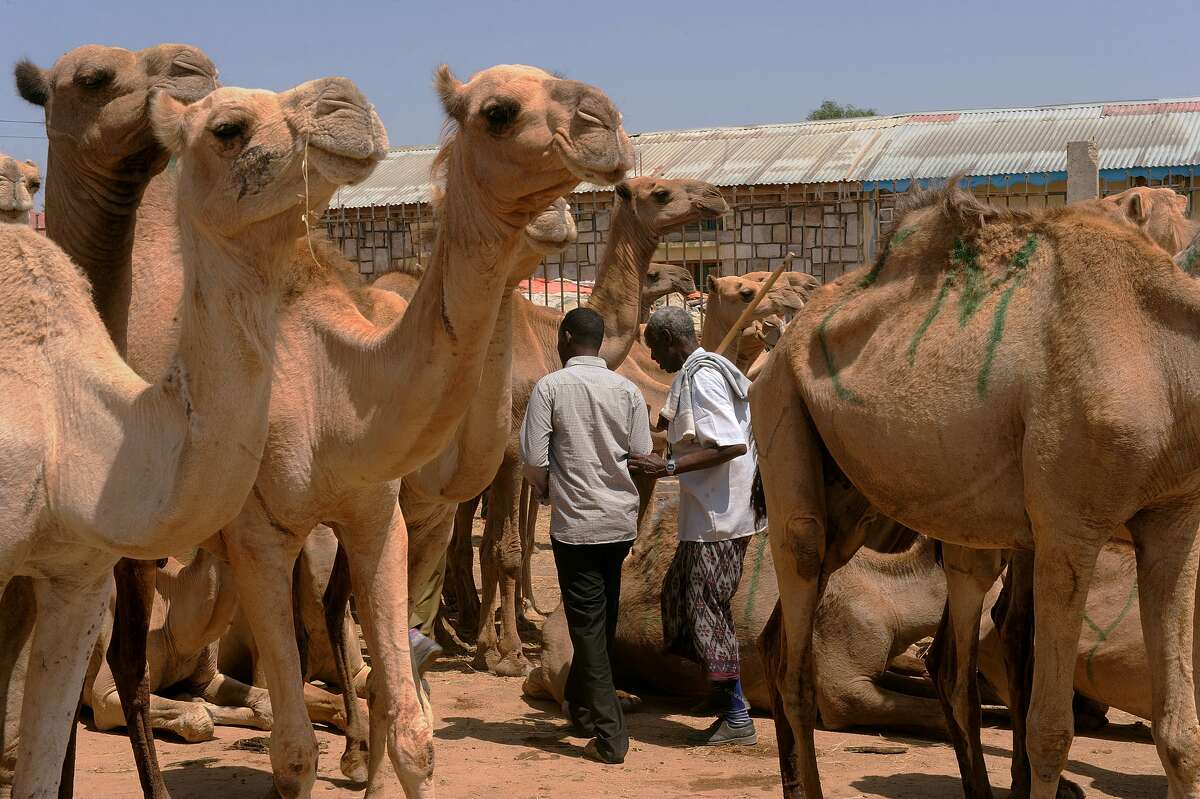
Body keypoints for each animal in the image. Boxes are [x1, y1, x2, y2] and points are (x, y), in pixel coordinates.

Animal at [748, 179, 1200, 796]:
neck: (1163, 359)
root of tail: (774, 352)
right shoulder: (1069, 527)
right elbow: (1050, 730)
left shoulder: (1175, 517)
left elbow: (1180, 734)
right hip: (782, 411)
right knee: (799, 606)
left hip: (855, 498)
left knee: (790, 641)